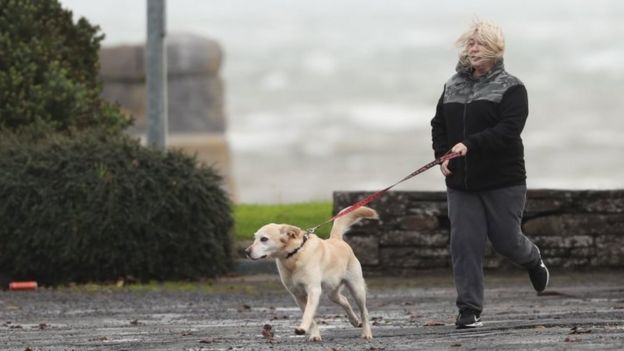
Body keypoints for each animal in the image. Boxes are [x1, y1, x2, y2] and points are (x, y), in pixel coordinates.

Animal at [246, 206, 378, 340]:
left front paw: (302, 328)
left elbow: (308, 313)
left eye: (264, 239)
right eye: (255, 238)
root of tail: (336, 239)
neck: (294, 255)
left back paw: (366, 333)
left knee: (364, 311)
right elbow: (311, 318)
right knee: (345, 300)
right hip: (332, 293)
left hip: (357, 289)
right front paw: (314, 334)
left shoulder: (313, 290)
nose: (246, 251)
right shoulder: (297, 295)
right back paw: (355, 321)